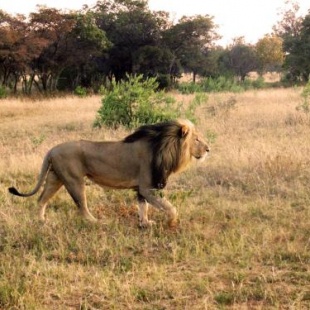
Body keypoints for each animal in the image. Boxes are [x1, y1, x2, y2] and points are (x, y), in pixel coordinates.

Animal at [8, 118, 209, 228]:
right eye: (197, 139)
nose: (209, 149)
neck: (163, 146)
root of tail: (52, 149)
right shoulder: (147, 187)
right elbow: (169, 206)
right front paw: (172, 223)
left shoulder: (141, 189)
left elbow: (143, 207)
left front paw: (144, 224)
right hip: (74, 180)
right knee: (82, 208)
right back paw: (97, 223)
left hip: (54, 178)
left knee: (41, 200)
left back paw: (42, 222)